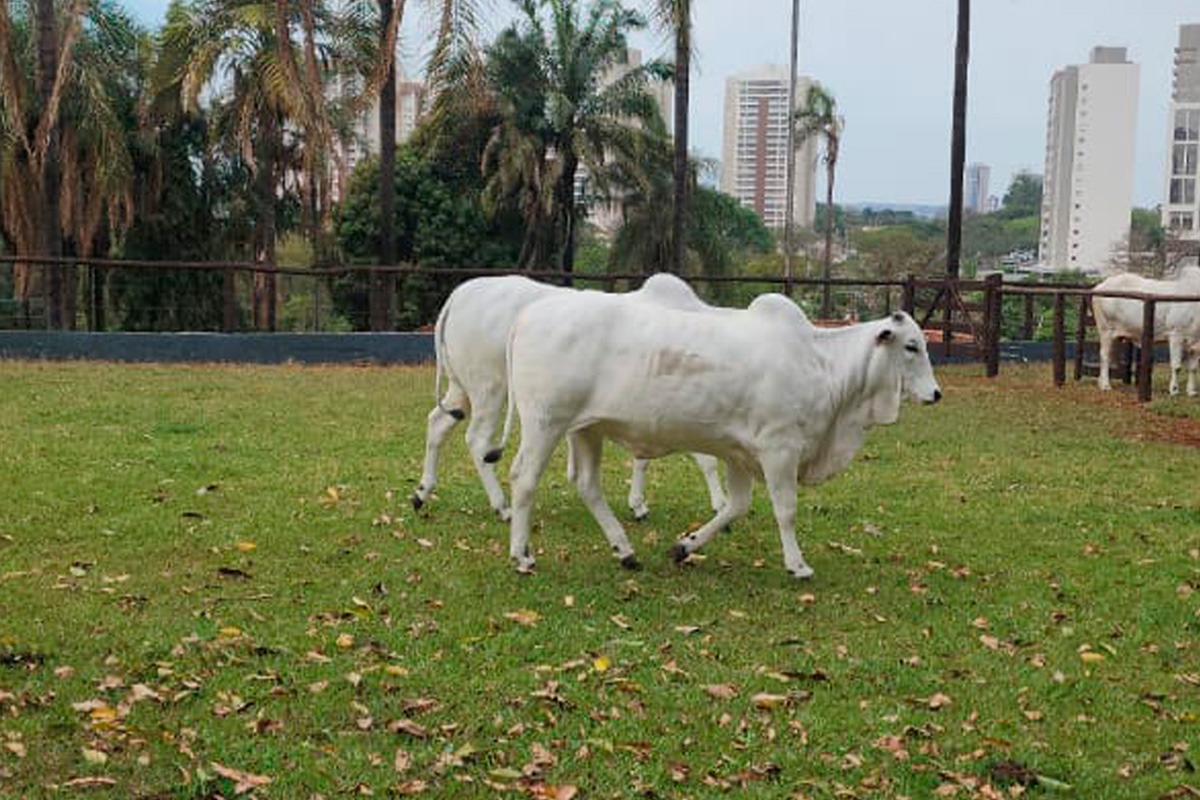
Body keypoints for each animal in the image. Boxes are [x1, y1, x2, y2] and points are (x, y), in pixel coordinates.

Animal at [412, 275, 724, 522]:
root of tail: (460, 294)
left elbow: (642, 459)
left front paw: (637, 505)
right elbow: (705, 458)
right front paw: (720, 505)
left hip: (461, 388)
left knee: (437, 423)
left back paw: (422, 492)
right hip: (490, 387)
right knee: (478, 440)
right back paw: (502, 507)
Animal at [492, 291, 940, 578]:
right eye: (912, 346)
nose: (936, 394)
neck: (821, 365)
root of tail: (529, 315)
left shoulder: (740, 453)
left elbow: (735, 507)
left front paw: (684, 546)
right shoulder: (779, 448)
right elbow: (786, 510)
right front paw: (797, 564)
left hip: (587, 429)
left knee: (588, 485)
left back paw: (625, 551)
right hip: (545, 422)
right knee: (524, 479)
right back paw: (522, 555)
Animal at [1094, 267, 1200, 395]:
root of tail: (1100, 286)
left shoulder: (1196, 342)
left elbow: (1193, 368)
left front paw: (1191, 391)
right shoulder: (1176, 334)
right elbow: (1176, 366)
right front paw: (1174, 390)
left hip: (1115, 334)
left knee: (1109, 355)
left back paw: (1101, 382)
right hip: (1105, 329)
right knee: (1104, 355)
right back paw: (1105, 385)